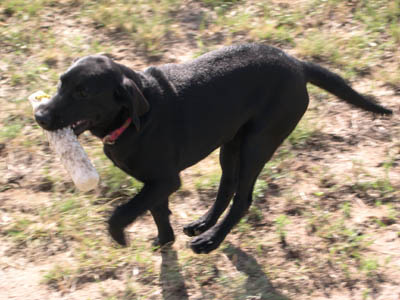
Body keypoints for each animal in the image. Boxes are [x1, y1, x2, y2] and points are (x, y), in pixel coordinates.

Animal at [33, 42, 390, 253]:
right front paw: (165, 241)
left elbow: (123, 212)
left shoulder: (165, 180)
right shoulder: (156, 184)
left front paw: (120, 235)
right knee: (226, 188)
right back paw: (203, 225)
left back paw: (211, 239)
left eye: (83, 92)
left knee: (242, 199)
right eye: (61, 83)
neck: (134, 120)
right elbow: (156, 211)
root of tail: (297, 64)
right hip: (231, 144)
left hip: (257, 145)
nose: (39, 115)